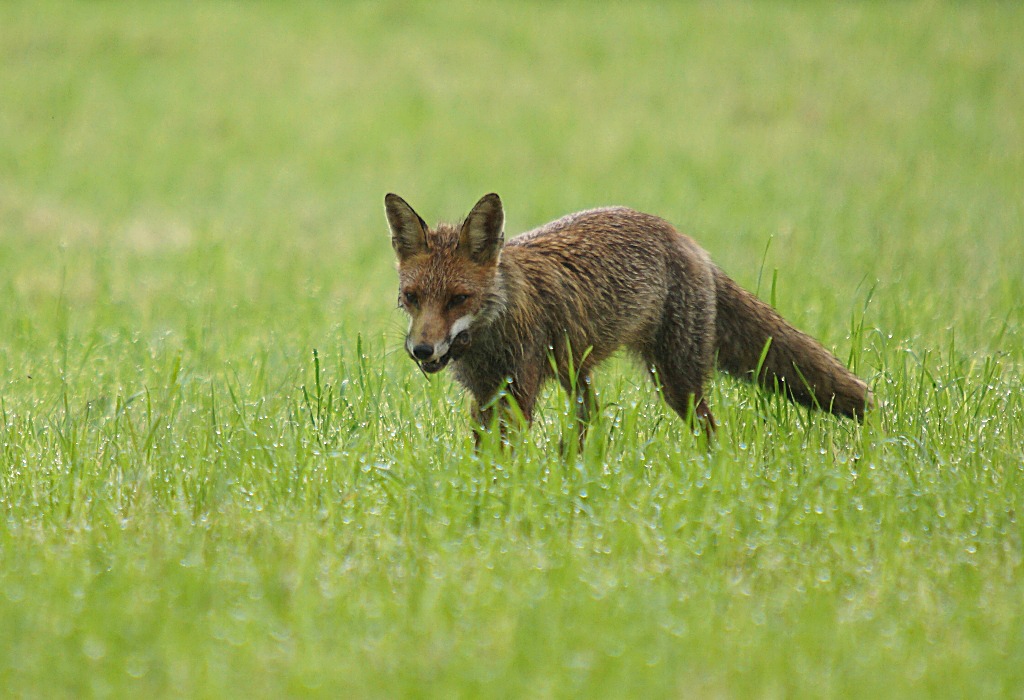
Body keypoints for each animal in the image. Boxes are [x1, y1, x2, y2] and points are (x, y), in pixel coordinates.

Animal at [385, 191, 872, 446]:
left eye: (458, 299)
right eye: (412, 297)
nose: (422, 350)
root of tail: (682, 237)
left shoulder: (518, 391)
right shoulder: (484, 396)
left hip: (677, 382)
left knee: (710, 431)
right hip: (578, 373)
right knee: (592, 420)